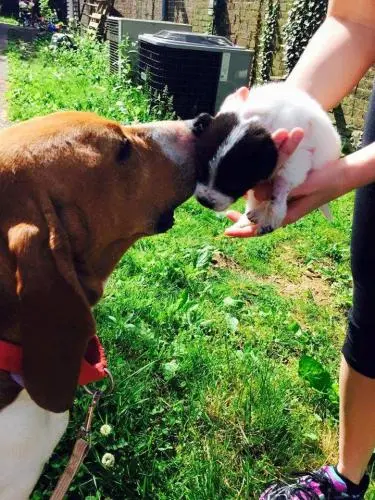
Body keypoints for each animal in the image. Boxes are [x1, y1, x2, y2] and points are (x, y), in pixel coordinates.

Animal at [194, 83, 344, 234]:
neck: (256, 119)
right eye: (200, 168)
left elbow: (282, 186)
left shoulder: (297, 158)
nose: (204, 201)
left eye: (234, 181)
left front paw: (273, 214)